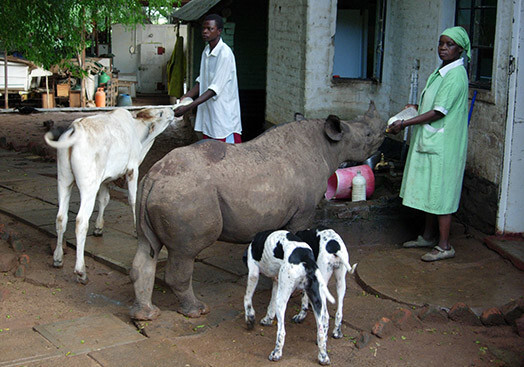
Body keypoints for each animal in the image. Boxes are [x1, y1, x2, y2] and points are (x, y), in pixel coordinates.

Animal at [44, 102, 188, 286]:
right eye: (161, 113)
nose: (172, 110)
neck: (137, 131)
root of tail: (76, 128)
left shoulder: (105, 179)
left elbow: (104, 199)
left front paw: (99, 228)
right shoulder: (133, 168)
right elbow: (133, 199)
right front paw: (136, 229)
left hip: (63, 180)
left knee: (61, 218)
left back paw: (57, 258)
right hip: (88, 186)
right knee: (81, 221)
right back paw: (81, 271)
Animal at [243, 230, 334, 366]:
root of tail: (306, 258)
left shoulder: (253, 272)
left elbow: (247, 298)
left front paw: (250, 318)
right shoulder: (277, 282)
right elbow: (271, 305)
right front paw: (268, 319)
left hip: (282, 300)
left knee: (281, 332)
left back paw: (276, 353)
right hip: (316, 301)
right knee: (321, 331)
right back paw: (323, 356)